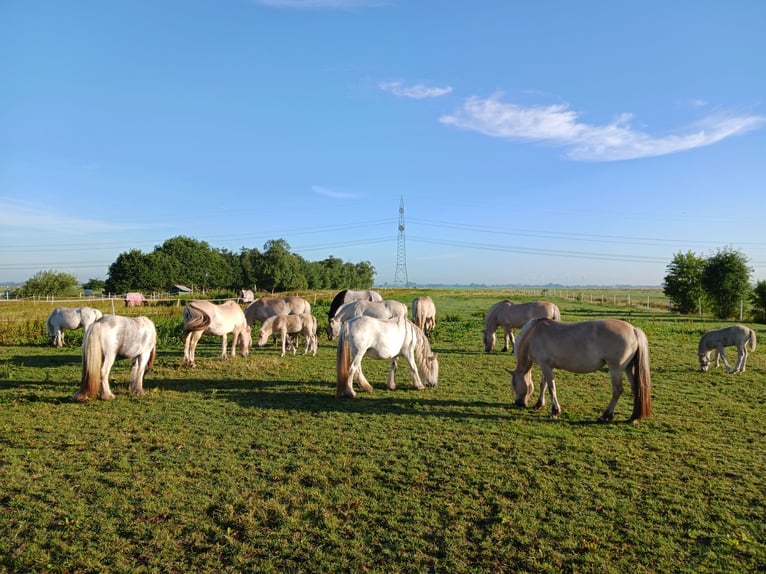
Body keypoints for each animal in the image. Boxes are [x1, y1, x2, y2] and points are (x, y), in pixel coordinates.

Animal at [507, 318, 652, 422]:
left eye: (514, 385)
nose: (518, 403)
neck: (534, 334)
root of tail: (633, 329)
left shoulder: (545, 366)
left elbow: (551, 388)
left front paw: (555, 411)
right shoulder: (546, 366)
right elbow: (544, 384)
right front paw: (539, 404)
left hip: (615, 368)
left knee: (617, 390)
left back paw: (606, 415)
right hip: (628, 368)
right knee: (636, 389)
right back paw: (633, 417)